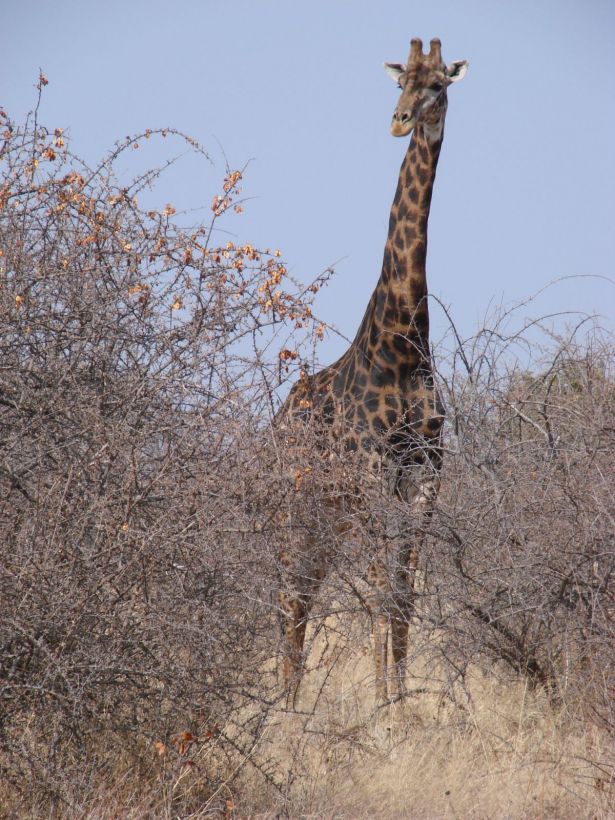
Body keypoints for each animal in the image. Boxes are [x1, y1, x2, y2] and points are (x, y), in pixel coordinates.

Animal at [275, 38, 468, 703]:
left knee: (304, 593)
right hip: (301, 503)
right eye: (400, 81)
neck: (404, 340)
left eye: (439, 85)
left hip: (331, 515)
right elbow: (387, 588)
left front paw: (399, 699)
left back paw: (294, 701)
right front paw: (385, 703)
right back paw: (286, 707)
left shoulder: (425, 473)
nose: (399, 121)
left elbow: (402, 594)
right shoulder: (374, 472)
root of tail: (275, 418)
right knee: (291, 594)